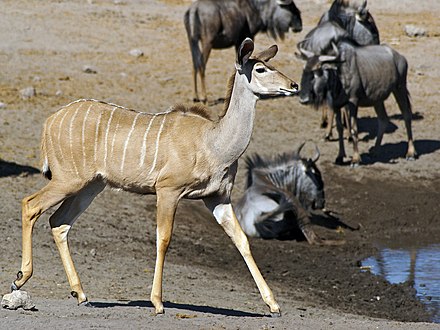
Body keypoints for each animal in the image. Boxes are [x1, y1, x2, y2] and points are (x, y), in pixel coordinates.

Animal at [11, 38, 300, 318]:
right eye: (260, 69)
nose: (294, 85)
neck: (213, 142)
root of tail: (49, 122)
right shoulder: (168, 191)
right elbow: (164, 239)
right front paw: (158, 303)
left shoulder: (217, 197)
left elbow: (242, 240)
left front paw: (273, 305)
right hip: (68, 180)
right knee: (30, 205)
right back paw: (20, 279)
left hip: (90, 187)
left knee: (59, 222)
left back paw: (81, 294)